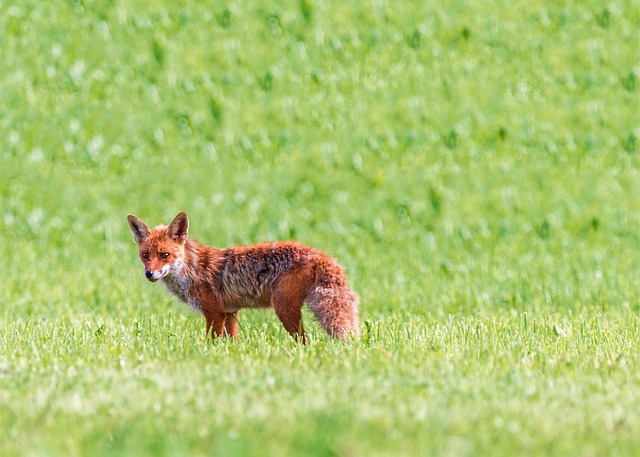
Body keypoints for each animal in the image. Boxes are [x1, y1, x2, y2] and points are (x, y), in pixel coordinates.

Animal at [127, 212, 360, 343]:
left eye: (164, 255)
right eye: (145, 255)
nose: (149, 273)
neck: (192, 270)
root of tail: (317, 254)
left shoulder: (214, 313)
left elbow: (211, 342)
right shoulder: (230, 312)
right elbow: (232, 343)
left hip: (283, 308)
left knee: (305, 342)